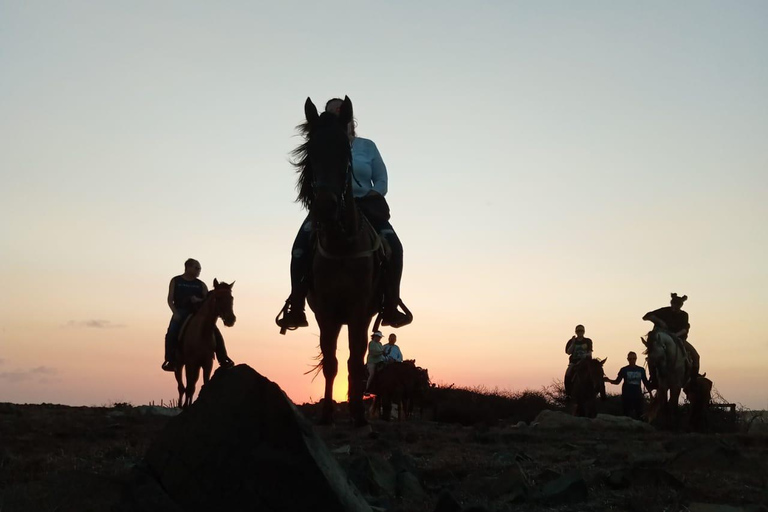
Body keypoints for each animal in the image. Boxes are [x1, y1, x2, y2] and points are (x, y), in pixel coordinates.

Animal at [176, 280, 236, 408]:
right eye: (218, 298)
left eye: (231, 298)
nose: (231, 319)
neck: (201, 333)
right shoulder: (190, 362)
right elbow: (189, 387)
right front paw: (185, 407)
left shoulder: (207, 362)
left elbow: (205, 384)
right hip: (179, 364)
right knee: (182, 386)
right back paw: (180, 404)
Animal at [294, 98, 380, 426]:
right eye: (310, 150)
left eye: (346, 150)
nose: (325, 207)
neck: (343, 245)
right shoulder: (326, 311)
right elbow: (331, 362)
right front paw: (327, 413)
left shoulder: (359, 312)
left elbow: (355, 362)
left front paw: (357, 413)